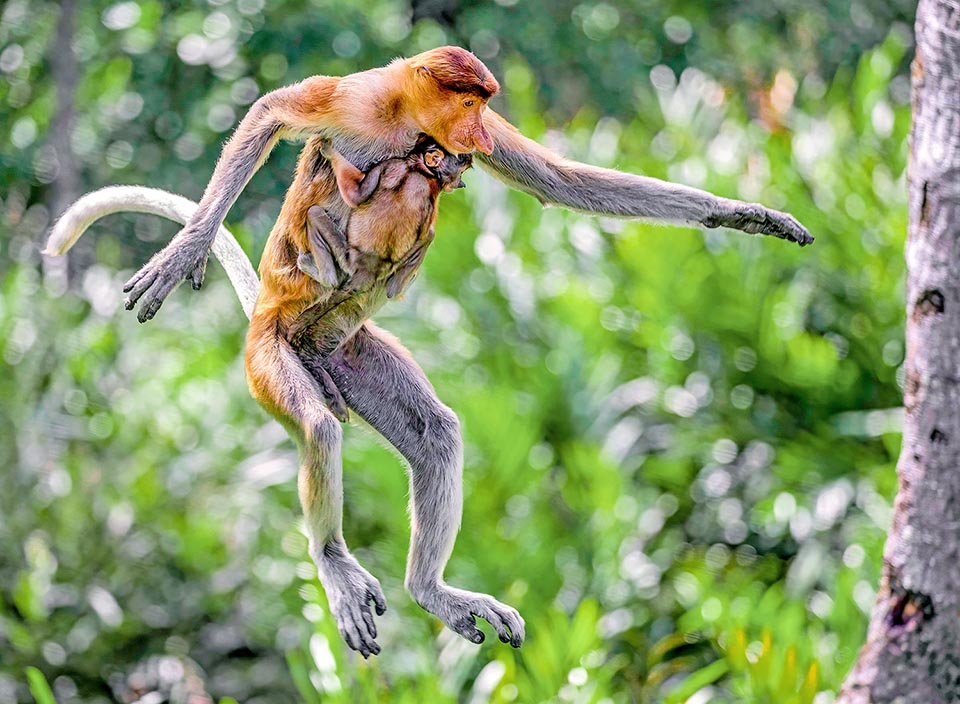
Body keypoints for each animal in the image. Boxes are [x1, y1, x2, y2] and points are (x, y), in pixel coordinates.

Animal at [48, 46, 812, 656]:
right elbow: (272, 113)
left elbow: (559, 181)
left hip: (353, 353)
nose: (472, 135)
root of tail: (284, 331)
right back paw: (334, 560)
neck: (405, 122)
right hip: (270, 359)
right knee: (318, 425)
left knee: (435, 431)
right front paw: (186, 250)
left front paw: (747, 215)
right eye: (469, 99)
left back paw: (432, 592)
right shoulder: (353, 102)